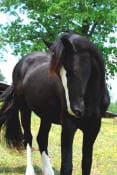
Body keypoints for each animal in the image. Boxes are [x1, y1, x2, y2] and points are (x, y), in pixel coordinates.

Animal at [0, 33, 109, 175]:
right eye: (58, 74)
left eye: (73, 71)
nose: (75, 110)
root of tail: (21, 63)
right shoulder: (68, 126)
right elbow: (67, 166)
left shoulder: (94, 127)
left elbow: (86, 163)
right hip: (24, 108)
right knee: (28, 138)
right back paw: (30, 171)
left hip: (46, 115)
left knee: (41, 138)